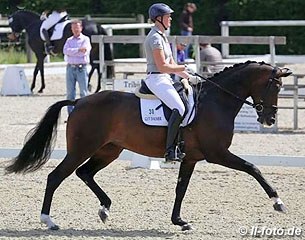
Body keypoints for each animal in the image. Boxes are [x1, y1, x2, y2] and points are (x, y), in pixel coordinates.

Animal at [4, 61, 290, 231]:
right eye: (275, 86)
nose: (270, 119)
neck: (216, 102)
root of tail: (79, 102)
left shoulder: (191, 157)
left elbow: (181, 189)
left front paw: (179, 221)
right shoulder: (217, 153)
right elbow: (253, 168)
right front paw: (278, 202)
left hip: (109, 150)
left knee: (84, 173)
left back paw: (105, 208)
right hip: (82, 149)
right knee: (56, 176)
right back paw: (48, 220)